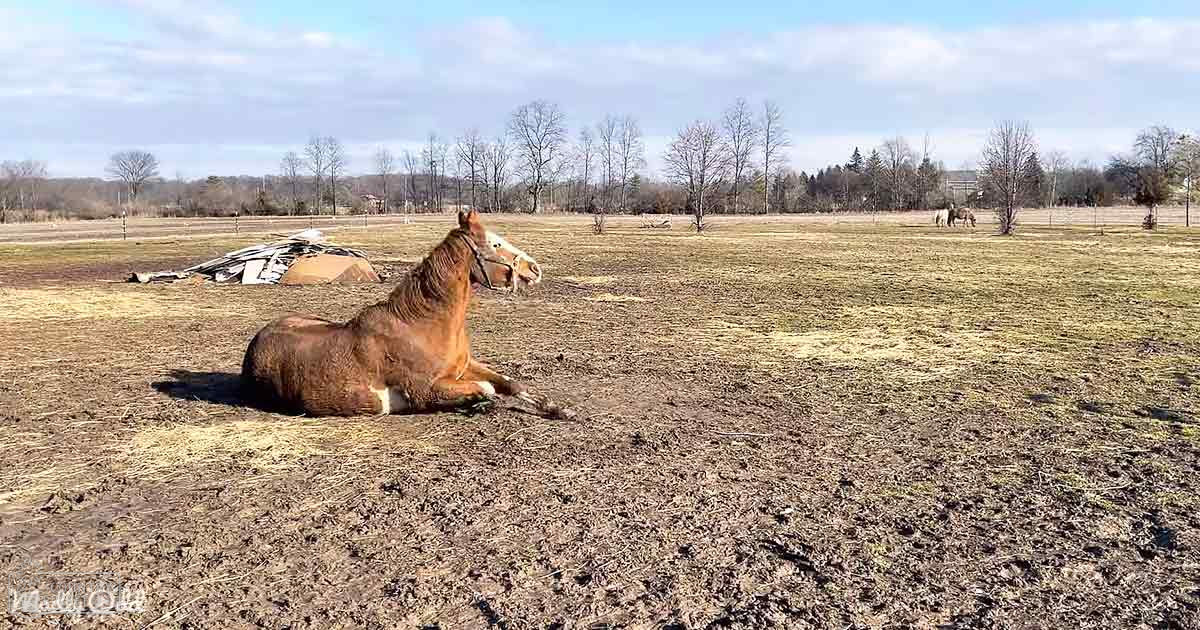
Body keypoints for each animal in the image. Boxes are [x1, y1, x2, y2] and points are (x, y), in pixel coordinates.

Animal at [241, 209, 572, 419]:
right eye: (495, 243)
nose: (534, 269)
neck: (422, 326)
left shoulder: (466, 367)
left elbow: (509, 383)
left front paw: (559, 409)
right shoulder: (426, 390)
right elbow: (488, 389)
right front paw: (478, 405)